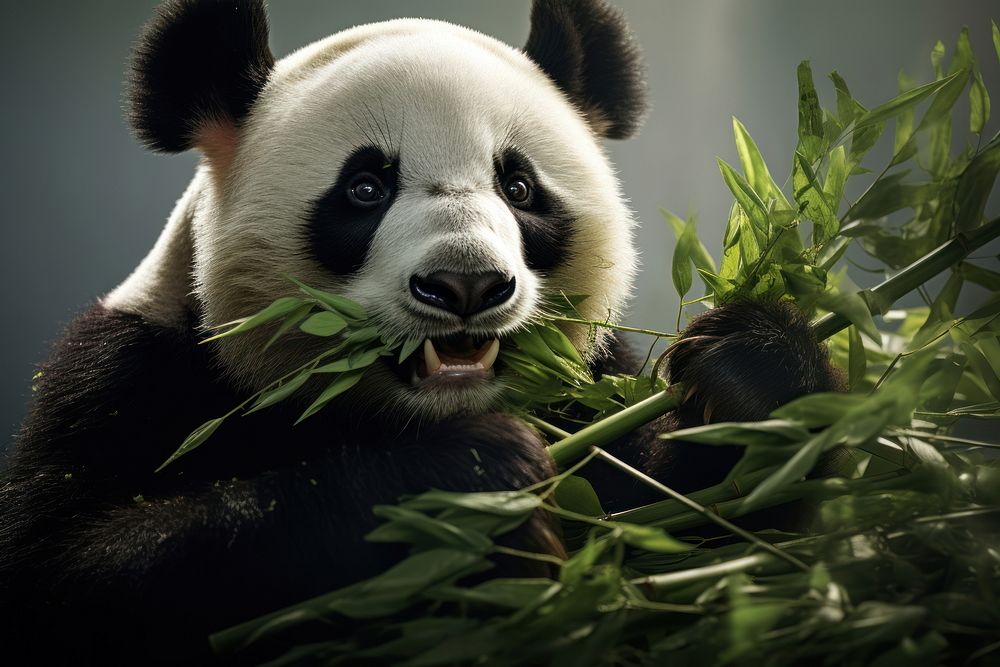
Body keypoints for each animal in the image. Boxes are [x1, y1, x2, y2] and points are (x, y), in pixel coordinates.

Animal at [0, 0, 844, 660]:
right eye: (365, 187)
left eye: (519, 186)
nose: (466, 284)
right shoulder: (130, 376)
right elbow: (81, 571)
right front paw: (460, 486)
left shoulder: (596, 386)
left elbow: (711, 545)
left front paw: (754, 373)